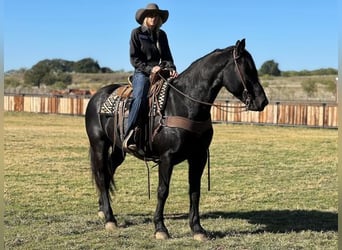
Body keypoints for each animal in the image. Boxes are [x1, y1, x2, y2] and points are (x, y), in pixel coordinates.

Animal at [85, 39, 268, 240]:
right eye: (246, 69)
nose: (262, 101)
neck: (184, 103)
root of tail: (96, 96)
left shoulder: (198, 157)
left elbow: (195, 191)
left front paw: (197, 229)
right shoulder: (167, 158)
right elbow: (162, 190)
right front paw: (160, 228)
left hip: (119, 149)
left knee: (108, 171)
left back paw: (102, 210)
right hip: (99, 144)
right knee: (102, 174)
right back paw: (110, 219)